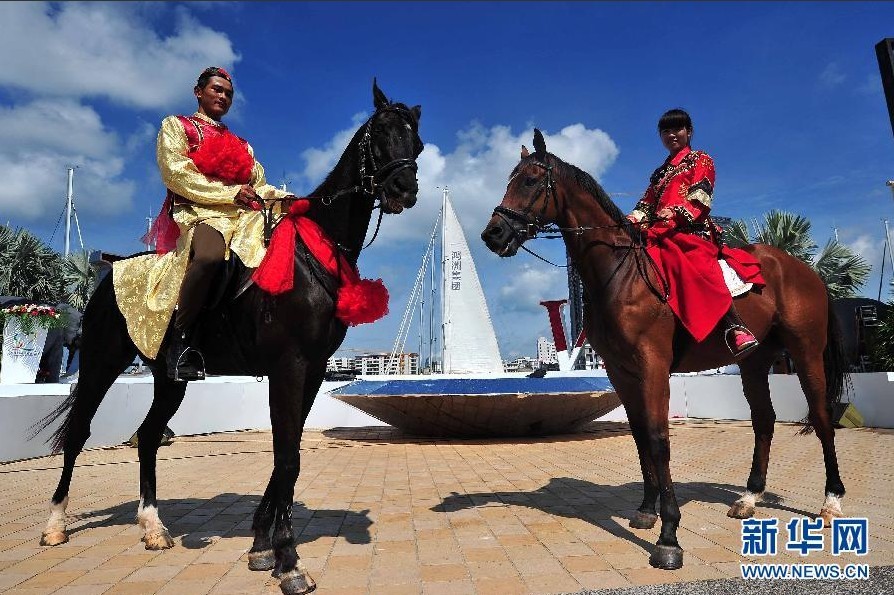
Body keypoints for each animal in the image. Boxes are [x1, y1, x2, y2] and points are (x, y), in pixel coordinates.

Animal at [32, 81, 423, 595]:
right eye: (380, 135)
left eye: (417, 141)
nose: (405, 189)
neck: (310, 254)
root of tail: (108, 268)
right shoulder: (289, 367)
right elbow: (287, 458)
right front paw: (288, 559)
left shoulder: (314, 371)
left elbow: (286, 454)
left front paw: (262, 546)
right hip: (101, 362)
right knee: (78, 433)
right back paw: (55, 524)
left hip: (170, 379)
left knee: (149, 435)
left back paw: (153, 527)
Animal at [480, 129, 848, 571]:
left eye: (531, 180)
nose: (493, 234)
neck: (621, 273)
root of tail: (804, 269)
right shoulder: (621, 371)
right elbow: (640, 435)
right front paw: (646, 509)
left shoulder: (652, 365)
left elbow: (658, 439)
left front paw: (669, 535)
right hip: (754, 362)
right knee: (764, 421)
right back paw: (749, 496)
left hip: (807, 353)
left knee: (823, 419)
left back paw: (831, 501)